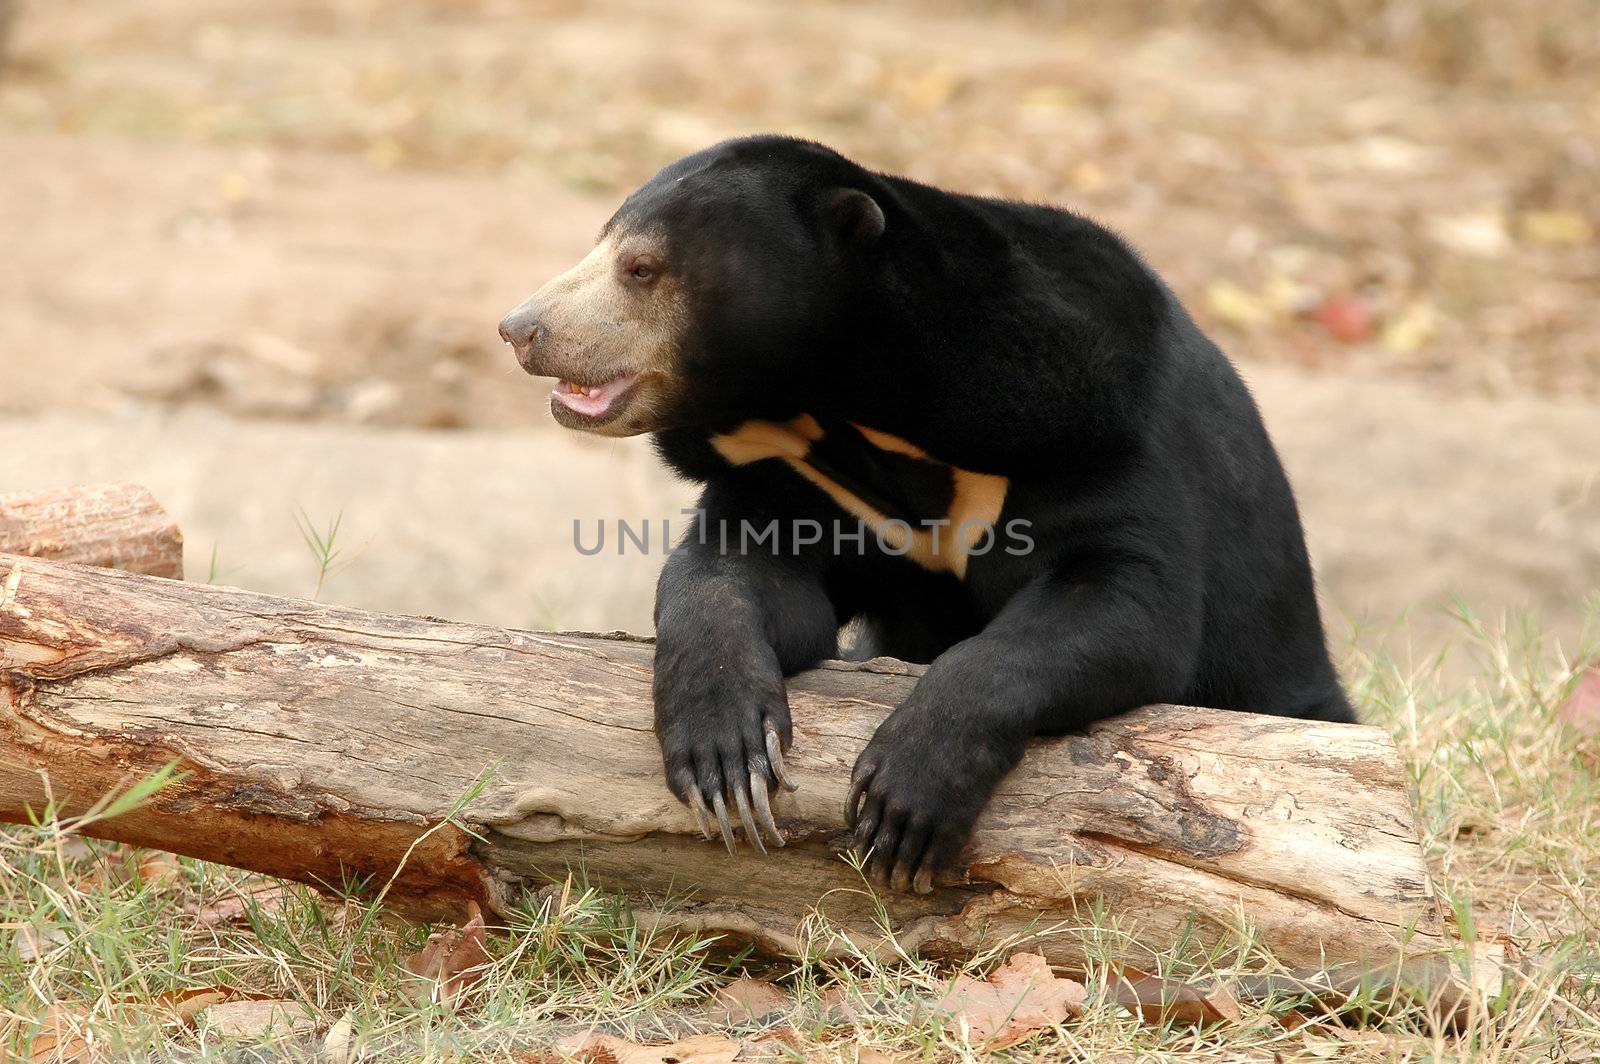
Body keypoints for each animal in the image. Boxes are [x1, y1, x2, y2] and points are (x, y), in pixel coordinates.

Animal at [496, 136, 1350, 889]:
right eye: (601, 245)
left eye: (640, 268)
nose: (520, 329)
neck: (845, 411)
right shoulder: (798, 484)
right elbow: (735, 575)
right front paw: (726, 759)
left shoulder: (1095, 430)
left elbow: (1124, 600)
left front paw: (903, 799)